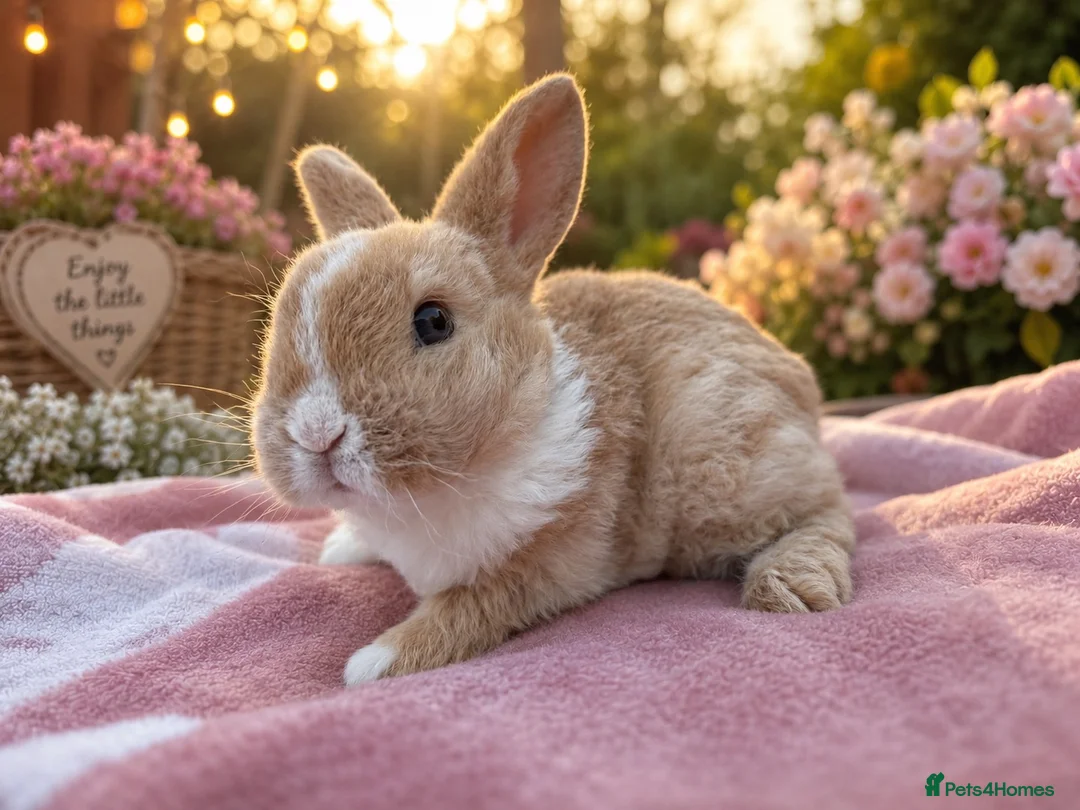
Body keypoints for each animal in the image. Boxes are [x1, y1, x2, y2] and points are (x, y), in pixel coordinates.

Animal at [252, 74, 855, 686]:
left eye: (434, 321)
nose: (316, 433)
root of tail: (801, 383)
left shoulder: (554, 560)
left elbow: (474, 605)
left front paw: (374, 662)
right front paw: (341, 550)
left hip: (728, 458)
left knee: (829, 515)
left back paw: (788, 588)